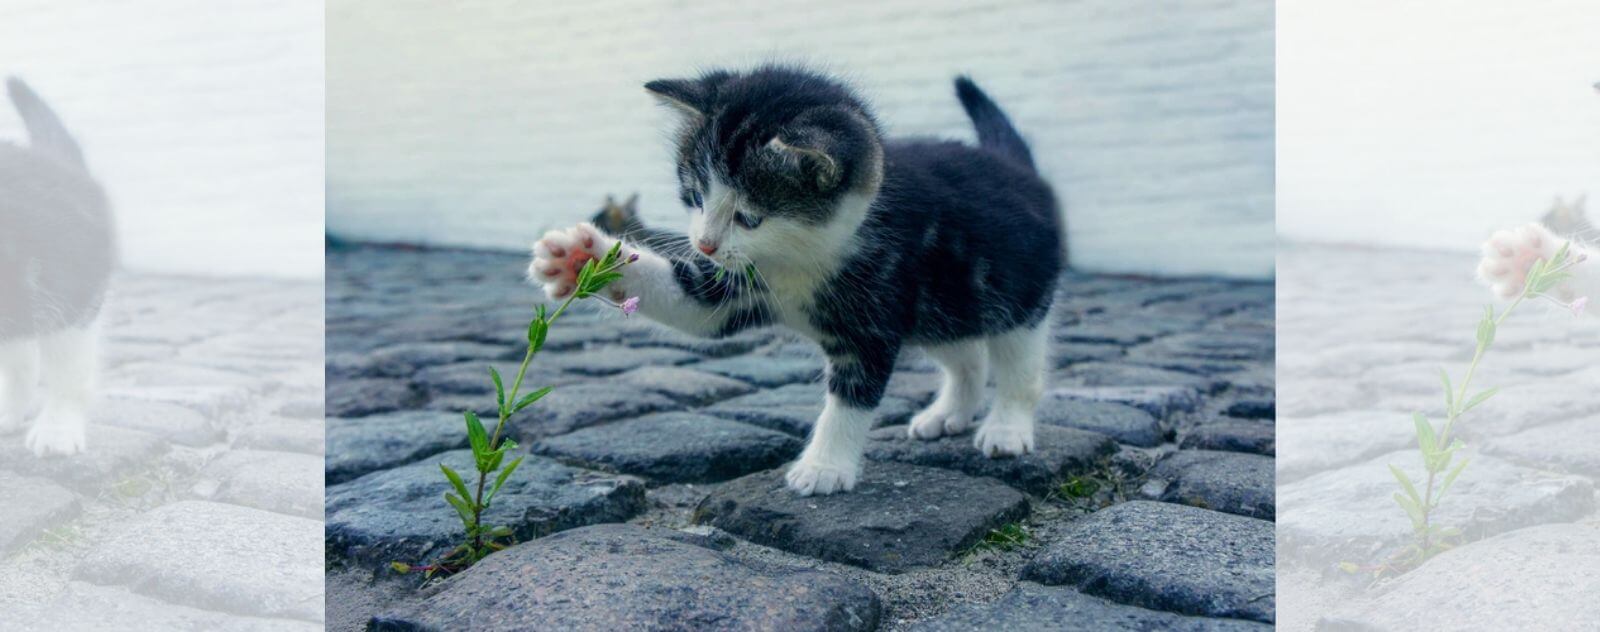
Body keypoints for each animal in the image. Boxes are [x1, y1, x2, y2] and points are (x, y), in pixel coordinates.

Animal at [534, 66, 1062, 496]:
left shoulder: (874, 314)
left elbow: (851, 397)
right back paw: (949, 412)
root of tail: (1019, 169)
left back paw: (1006, 427)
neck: (800, 256)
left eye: (749, 217)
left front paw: (825, 467)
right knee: (966, 354)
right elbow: (692, 304)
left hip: (1016, 294)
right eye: (696, 197)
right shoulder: (737, 285)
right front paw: (581, 258)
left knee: (1018, 364)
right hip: (941, 306)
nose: (704, 245)